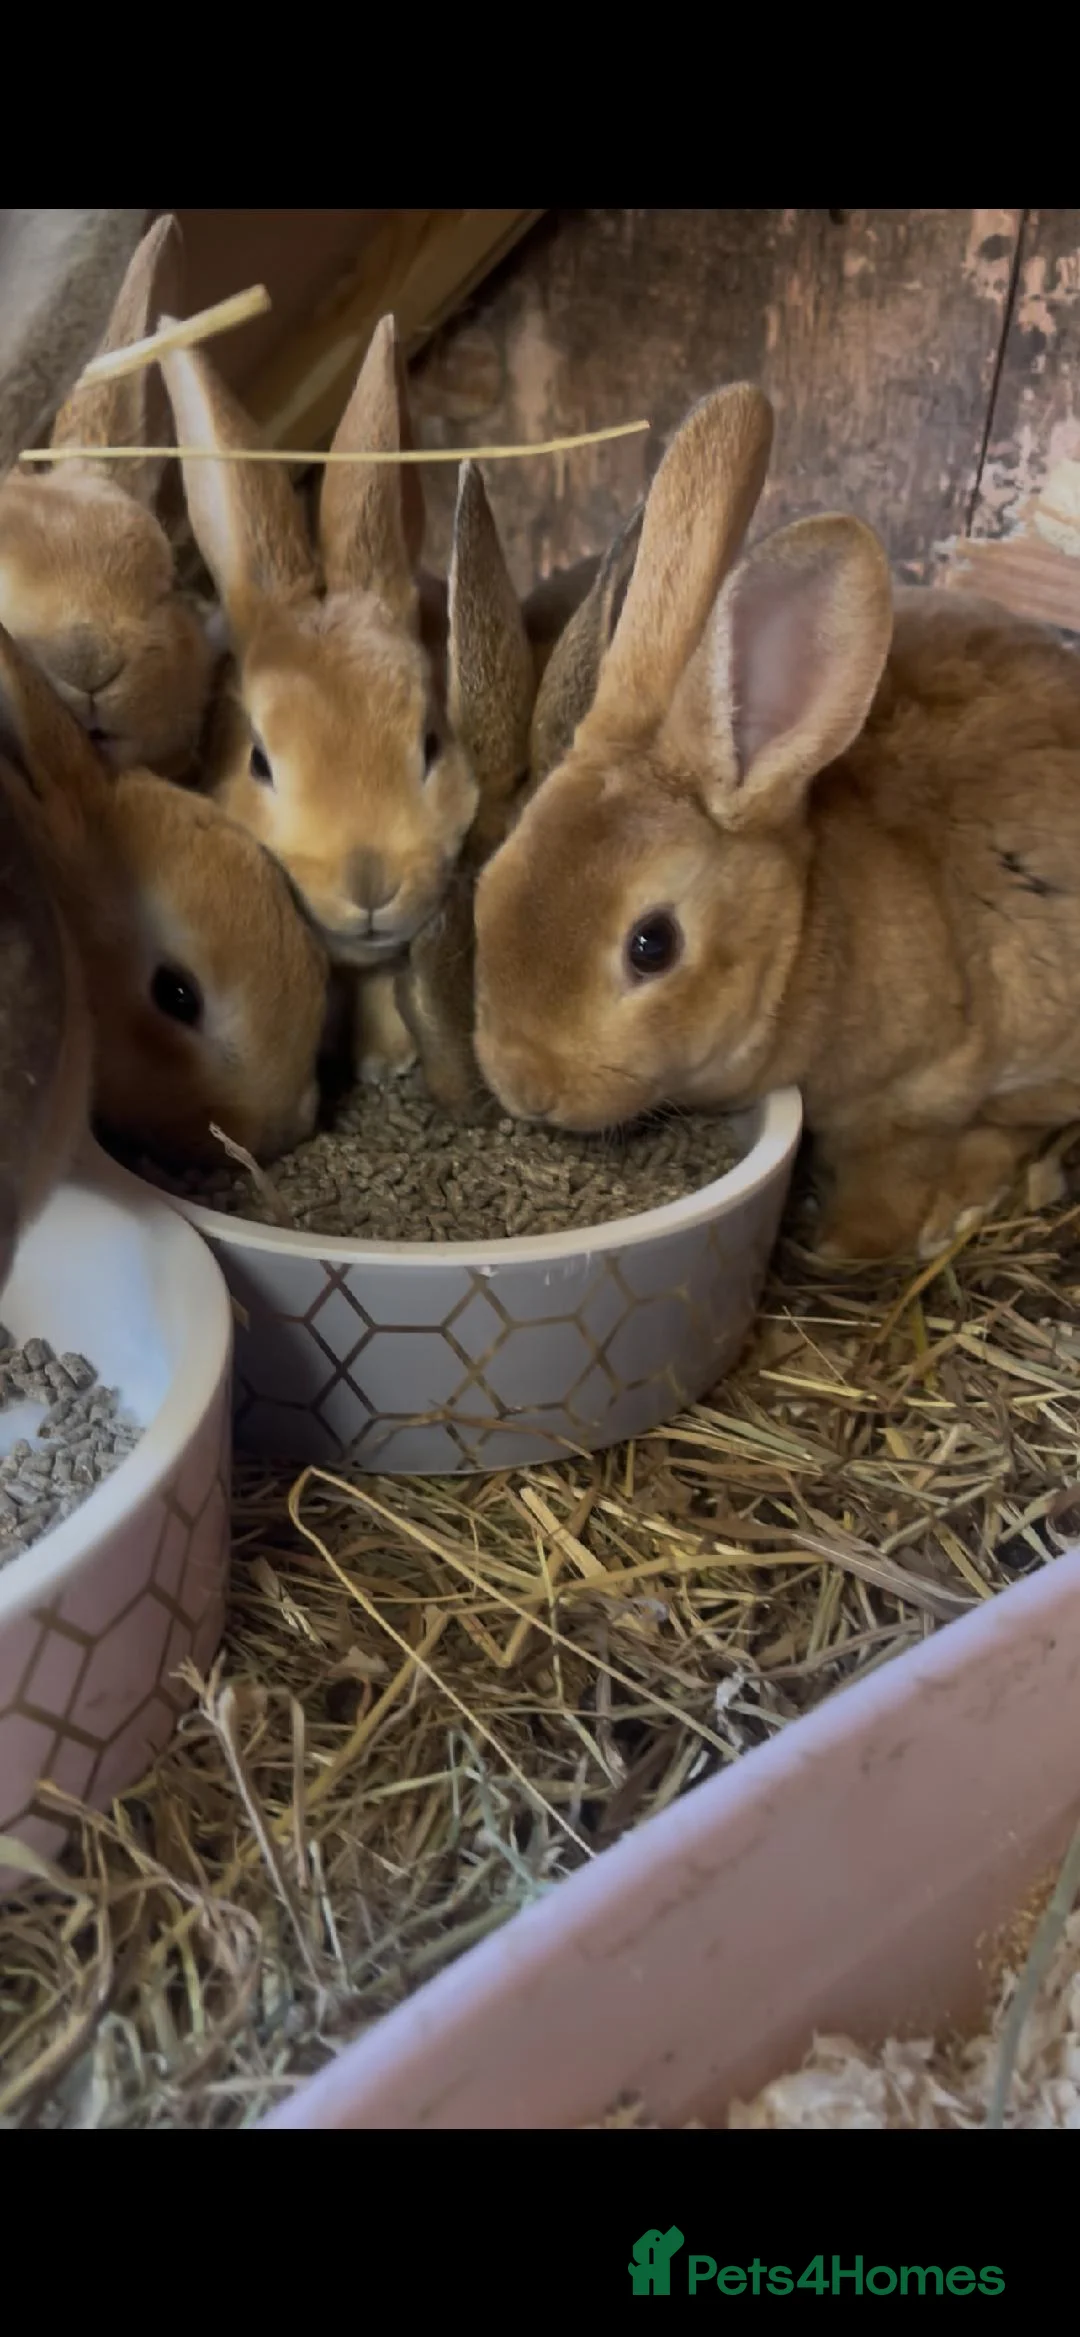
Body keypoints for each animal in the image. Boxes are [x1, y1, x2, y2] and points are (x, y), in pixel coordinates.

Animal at [471, 378, 1080, 1264]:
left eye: (652, 945)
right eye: (488, 886)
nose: (527, 1087)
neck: (808, 937)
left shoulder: (919, 1095)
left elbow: (893, 1172)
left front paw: (849, 1244)